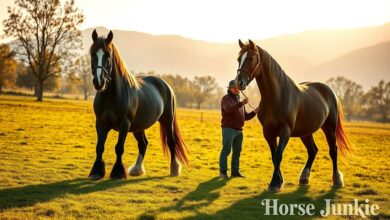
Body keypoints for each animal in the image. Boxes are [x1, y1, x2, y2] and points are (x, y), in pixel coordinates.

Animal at [88, 29, 187, 180]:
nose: (99, 82)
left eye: (108, 54)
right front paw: (96, 172)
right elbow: (99, 147)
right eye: (93, 53)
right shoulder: (100, 123)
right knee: (143, 144)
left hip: (167, 120)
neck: (111, 96)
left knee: (171, 142)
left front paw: (117, 172)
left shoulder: (125, 123)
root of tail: (165, 85)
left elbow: (119, 147)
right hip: (138, 126)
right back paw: (137, 169)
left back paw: (174, 169)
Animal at [235, 39, 354, 191]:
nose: (239, 82)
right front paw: (278, 180)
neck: (277, 96)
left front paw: (274, 183)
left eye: (250, 58)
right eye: (238, 59)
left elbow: (278, 155)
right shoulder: (268, 132)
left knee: (333, 150)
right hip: (306, 132)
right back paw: (304, 177)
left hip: (330, 128)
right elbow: (274, 155)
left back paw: (337, 180)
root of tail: (329, 91)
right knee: (312, 150)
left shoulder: (285, 131)